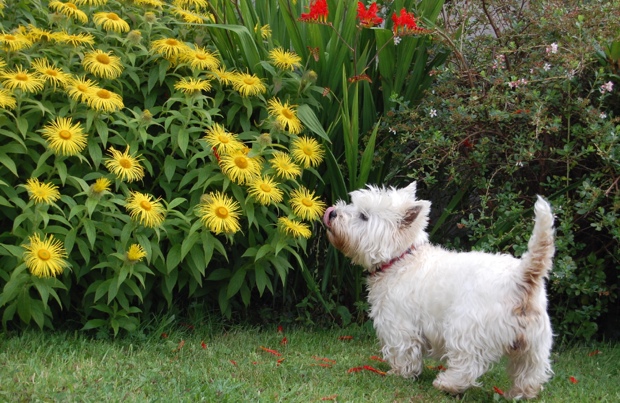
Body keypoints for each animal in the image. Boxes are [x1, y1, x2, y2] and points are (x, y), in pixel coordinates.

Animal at [322, 184, 556, 400]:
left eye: (364, 216)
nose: (332, 213)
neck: (401, 259)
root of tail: (521, 277)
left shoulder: (399, 323)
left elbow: (403, 351)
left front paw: (398, 373)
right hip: (534, 344)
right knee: (530, 372)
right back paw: (519, 393)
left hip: (466, 328)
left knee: (467, 365)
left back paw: (447, 384)